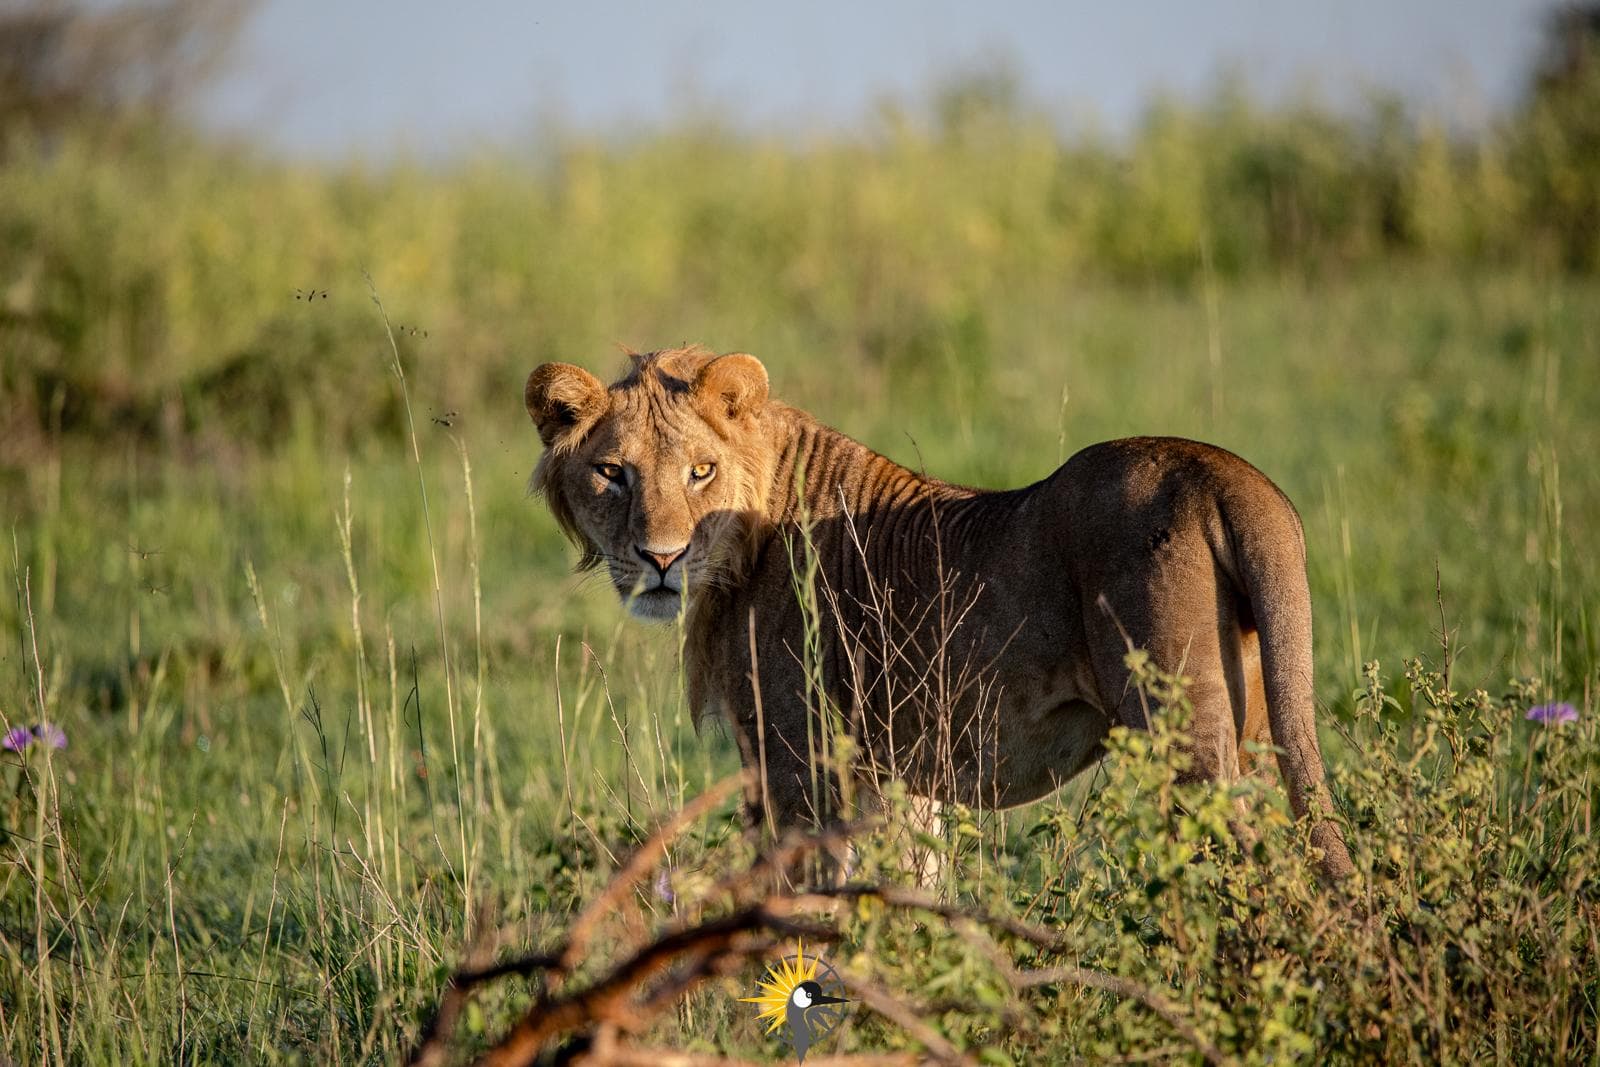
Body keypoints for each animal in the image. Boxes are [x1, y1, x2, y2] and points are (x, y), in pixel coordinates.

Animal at [525, 345, 1354, 881]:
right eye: (612, 473)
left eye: (701, 470)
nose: (661, 558)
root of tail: (1229, 475)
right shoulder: (899, 773)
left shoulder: (797, 762)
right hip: (1252, 730)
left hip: (1183, 735)